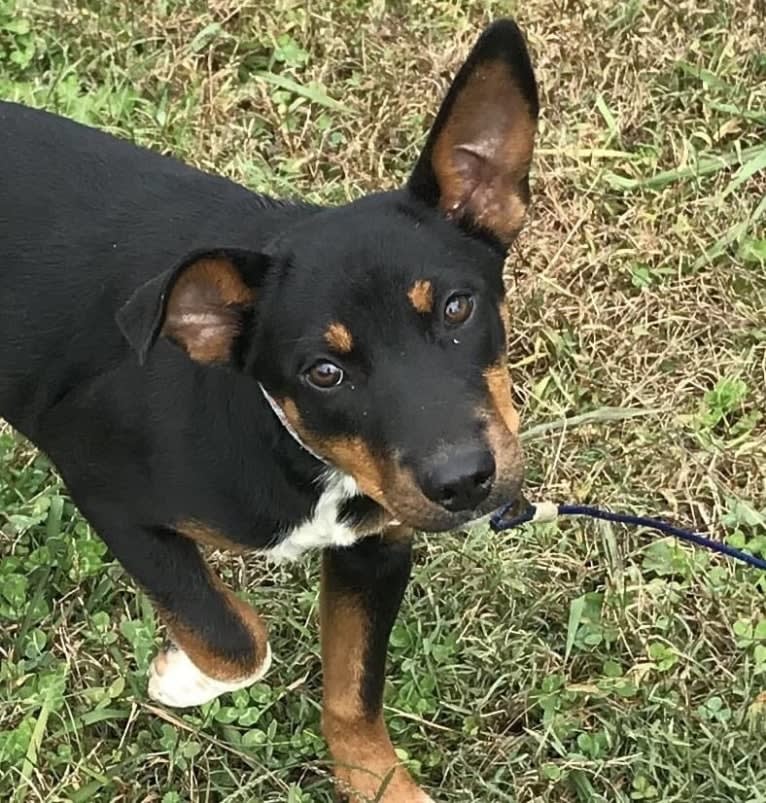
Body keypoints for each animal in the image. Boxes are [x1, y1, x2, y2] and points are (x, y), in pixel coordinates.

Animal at [0, 18, 540, 803]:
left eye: (457, 307)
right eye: (324, 372)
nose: (465, 481)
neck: (294, 445)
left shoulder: (375, 548)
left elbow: (353, 690)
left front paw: (377, 780)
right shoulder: (106, 490)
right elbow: (234, 639)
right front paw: (182, 675)